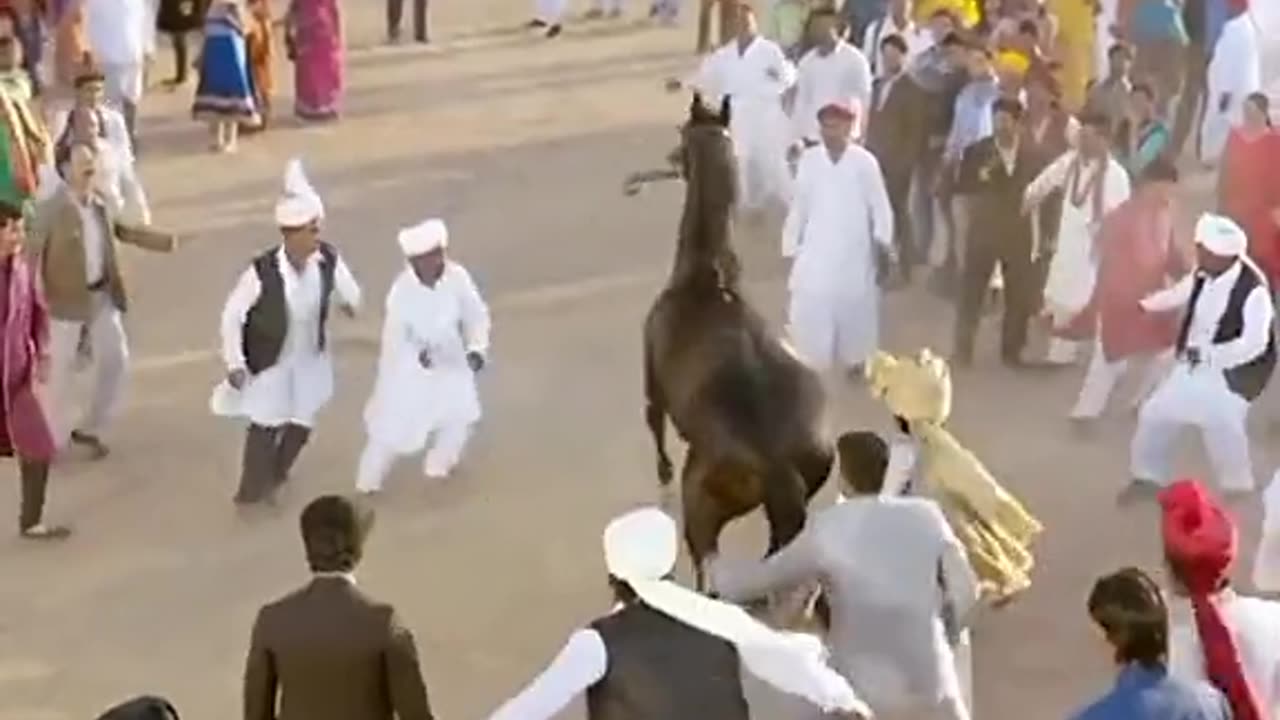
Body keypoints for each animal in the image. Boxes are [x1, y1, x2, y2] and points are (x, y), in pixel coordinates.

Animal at [640, 95, 829, 589]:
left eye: (684, 132)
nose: (672, 157)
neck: (706, 275)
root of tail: (776, 464)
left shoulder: (651, 385)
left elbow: (654, 427)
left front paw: (661, 472)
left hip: (703, 512)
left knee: (707, 571)